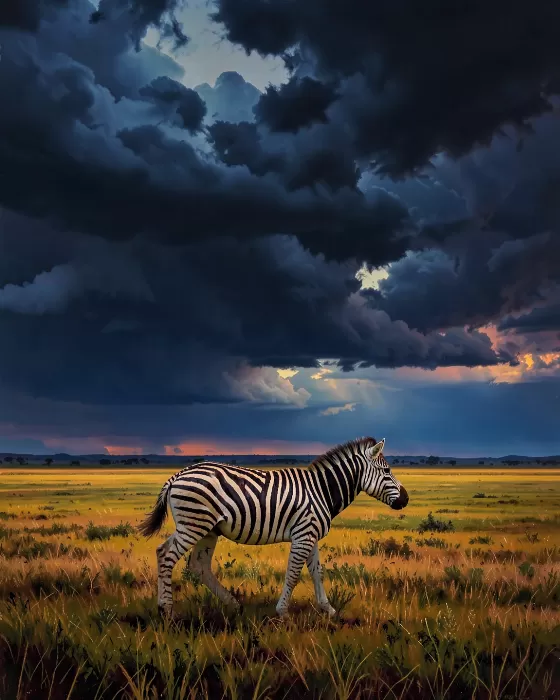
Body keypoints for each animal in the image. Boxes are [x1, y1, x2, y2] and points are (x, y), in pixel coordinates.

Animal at [138, 436, 408, 619]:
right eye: (387, 471)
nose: (405, 499)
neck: (321, 490)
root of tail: (177, 475)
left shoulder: (310, 534)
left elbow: (317, 572)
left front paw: (328, 609)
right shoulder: (303, 535)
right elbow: (293, 573)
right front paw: (283, 612)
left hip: (207, 529)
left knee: (196, 565)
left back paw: (232, 604)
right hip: (193, 524)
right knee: (166, 555)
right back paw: (167, 610)